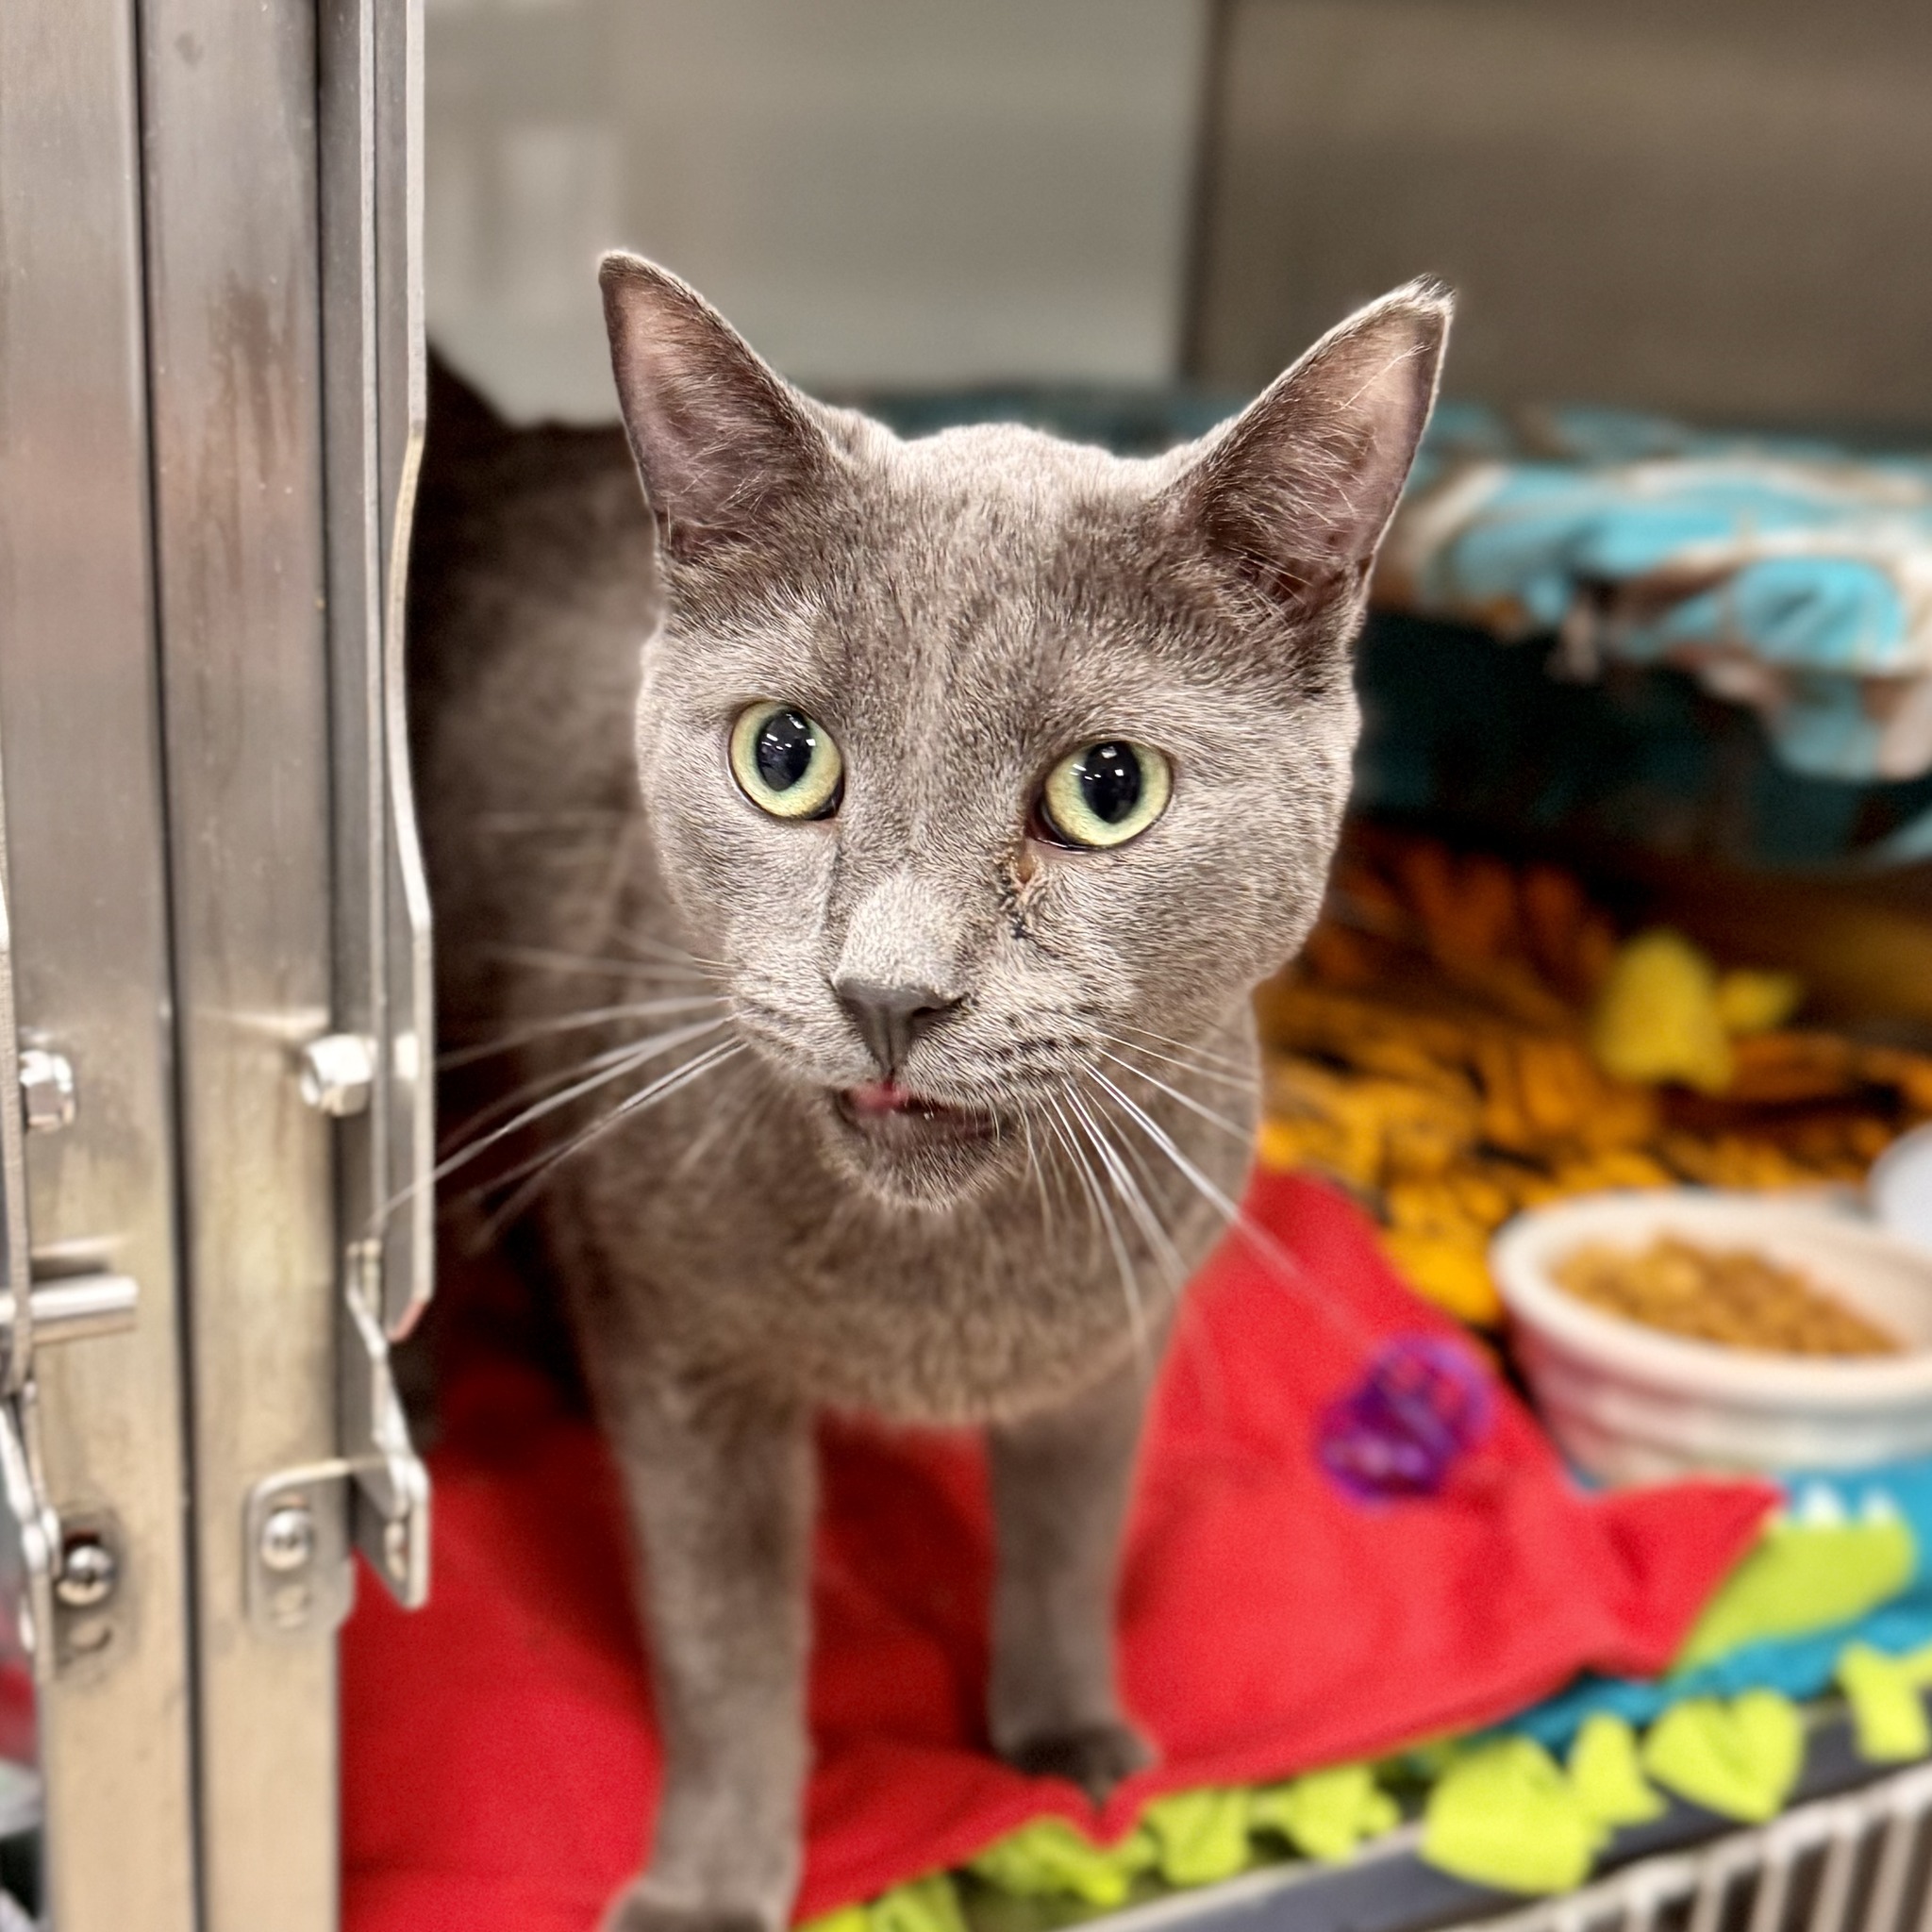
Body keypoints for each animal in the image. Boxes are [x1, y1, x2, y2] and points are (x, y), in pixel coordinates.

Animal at [412, 256, 1449, 1932]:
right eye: (784, 756)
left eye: (1110, 789)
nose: (888, 994)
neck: (937, 1301)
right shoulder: (692, 1369)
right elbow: (727, 1642)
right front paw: (710, 1885)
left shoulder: (1118, 1339)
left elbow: (1070, 1542)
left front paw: (1070, 1735)